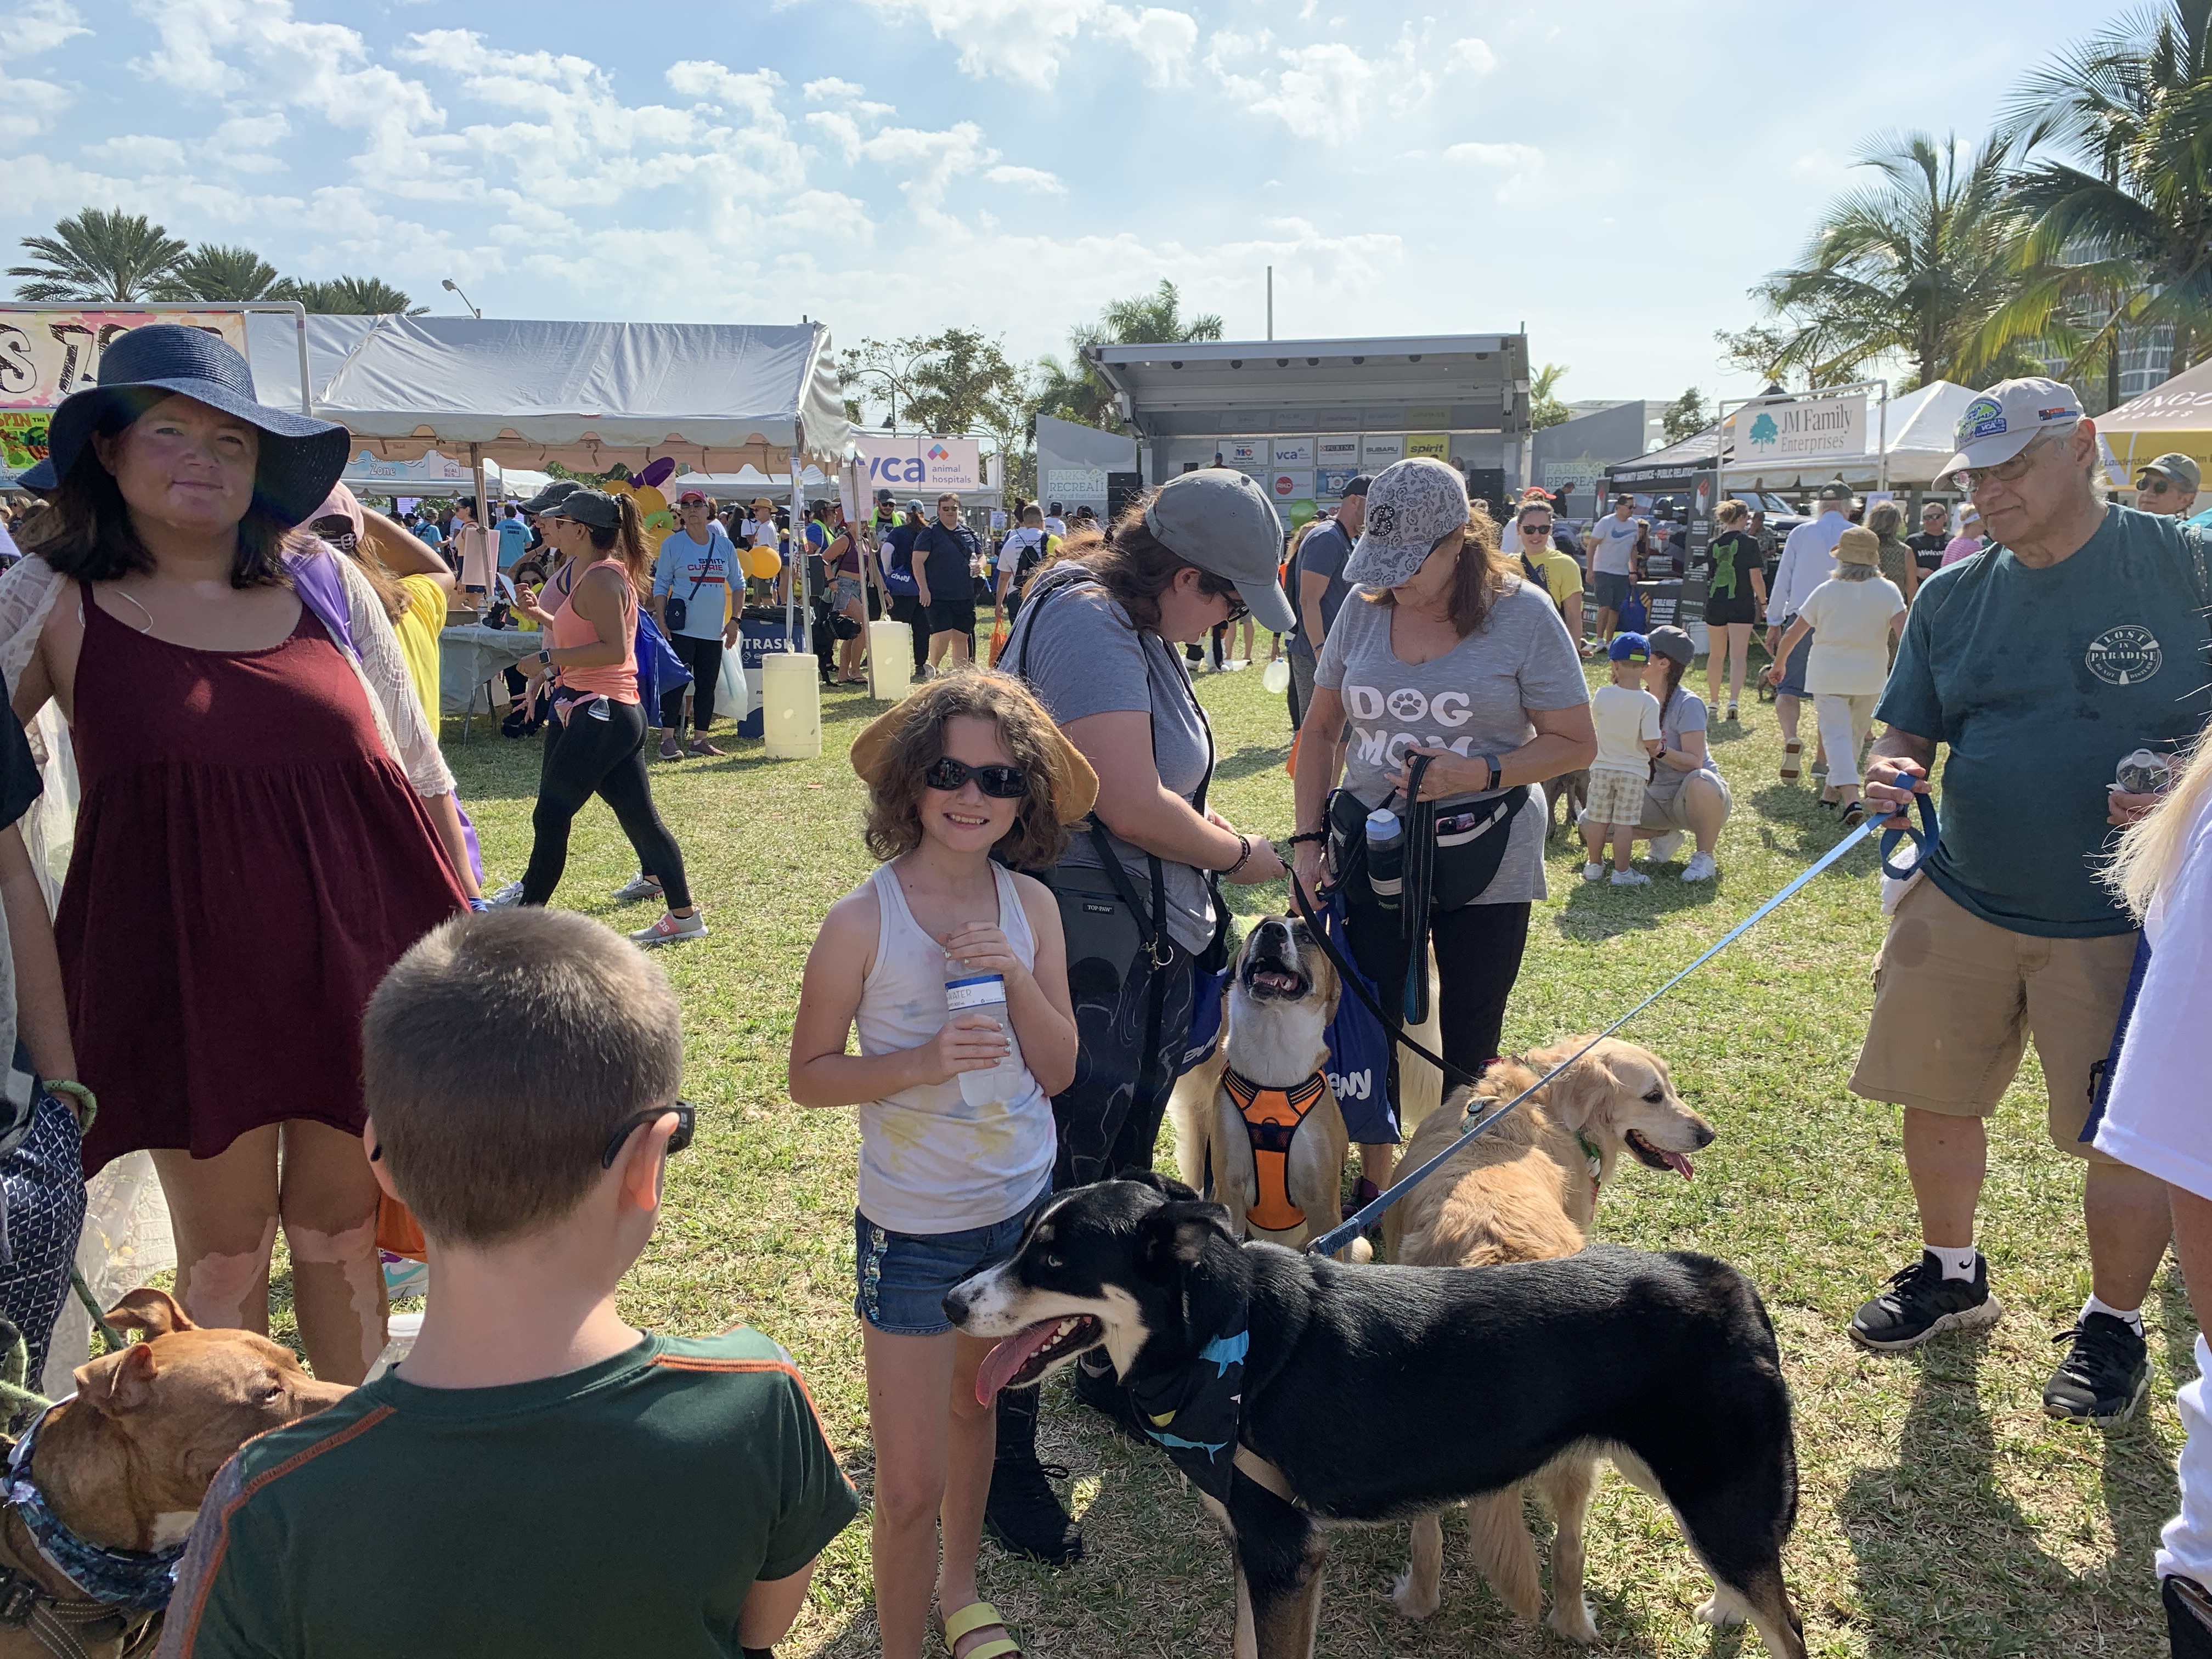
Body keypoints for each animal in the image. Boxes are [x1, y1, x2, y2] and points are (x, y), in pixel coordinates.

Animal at [942, 1177, 1805, 1659]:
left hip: (1715, 1498)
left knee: (1788, 1631)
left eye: (1054, 1261)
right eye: (1024, 1242)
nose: (949, 1303)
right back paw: (1725, 1611)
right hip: (1683, 1486)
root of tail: (1729, 1281)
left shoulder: (1286, 1557)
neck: (1230, 1342)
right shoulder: (1259, 1552)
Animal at [1389, 1044, 1716, 1645]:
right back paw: (1572, 1624)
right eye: (1654, 1095)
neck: (1540, 1095)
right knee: (1561, 1548)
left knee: (1447, 1541)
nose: (1707, 1135)